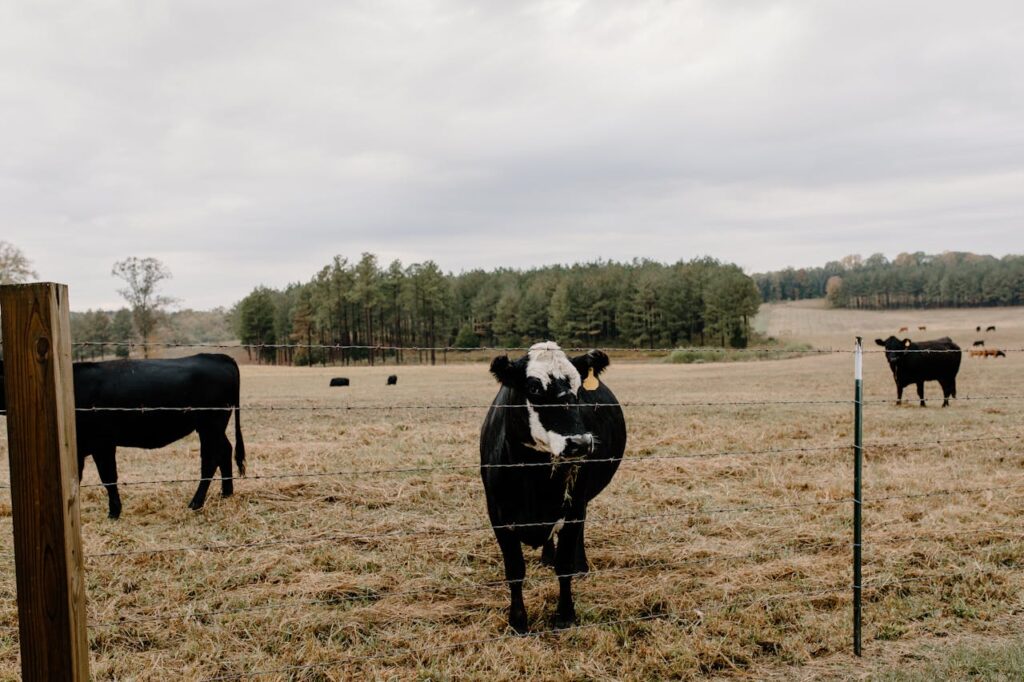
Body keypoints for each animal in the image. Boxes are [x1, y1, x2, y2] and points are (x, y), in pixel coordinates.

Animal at [0, 354, 245, 519]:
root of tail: (219, 357)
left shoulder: (102, 443)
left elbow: (108, 477)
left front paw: (114, 512)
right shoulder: (81, 447)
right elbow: (78, 477)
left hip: (210, 425)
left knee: (210, 460)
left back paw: (196, 503)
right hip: (214, 427)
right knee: (225, 451)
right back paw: (226, 493)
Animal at [480, 342, 626, 633]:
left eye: (579, 388)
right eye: (534, 387)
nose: (580, 442)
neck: (532, 480)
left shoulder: (573, 509)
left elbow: (565, 565)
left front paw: (565, 615)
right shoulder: (497, 515)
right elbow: (515, 571)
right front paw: (518, 621)